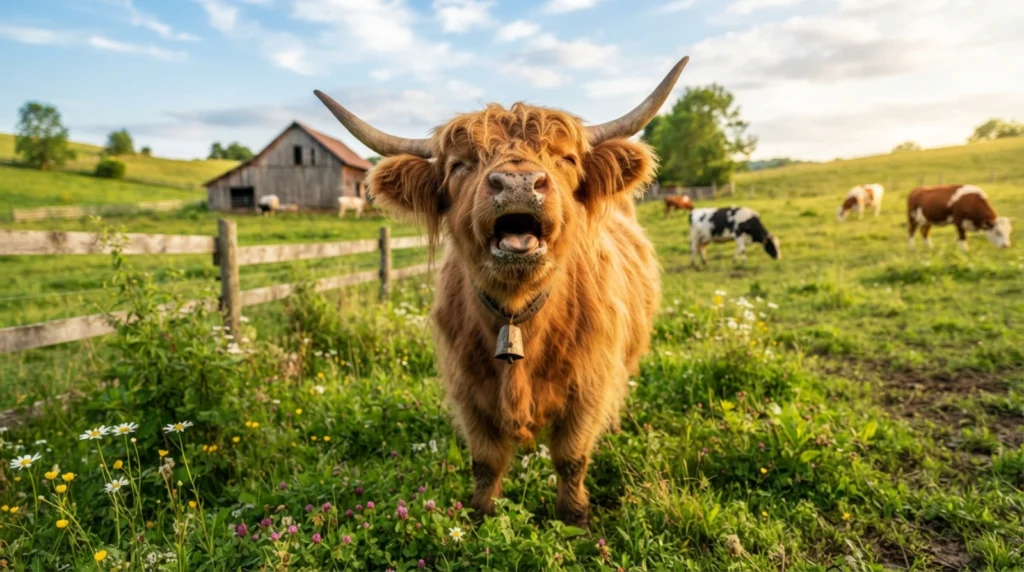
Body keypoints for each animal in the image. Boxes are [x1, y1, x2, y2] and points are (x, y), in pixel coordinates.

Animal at [314, 56, 690, 528]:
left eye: (566, 158)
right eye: (460, 165)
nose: (517, 183)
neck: (516, 317)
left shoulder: (589, 384)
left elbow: (571, 457)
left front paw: (574, 519)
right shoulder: (468, 390)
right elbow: (486, 461)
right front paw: (481, 515)